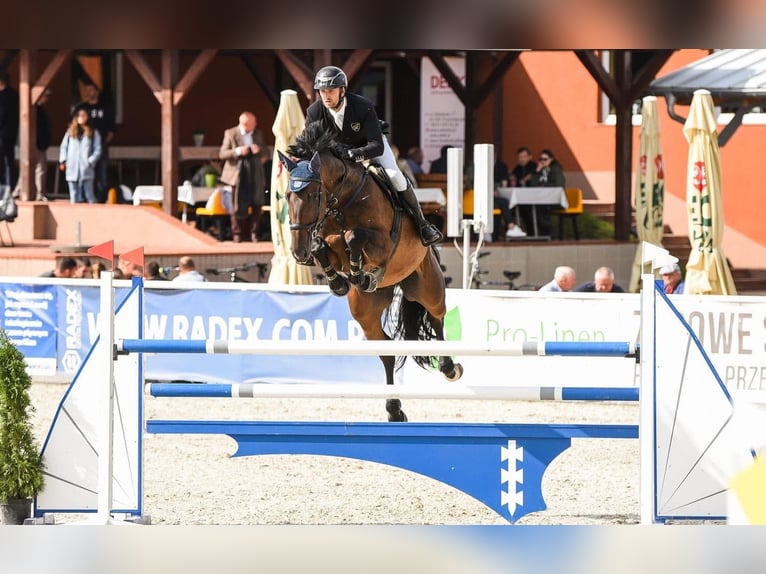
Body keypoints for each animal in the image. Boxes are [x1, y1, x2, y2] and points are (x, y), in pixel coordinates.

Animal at [280, 124, 464, 424]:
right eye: (287, 196)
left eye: (313, 195)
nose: (298, 252)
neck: (342, 200)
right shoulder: (326, 240)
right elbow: (323, 245)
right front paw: (340, 281)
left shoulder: (383, 245)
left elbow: (355, 236)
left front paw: (357, 271)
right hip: (365, 310)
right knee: (387, 350)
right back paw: (394, 410)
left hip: (427, 285)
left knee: (436, 317)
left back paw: (449, 368)